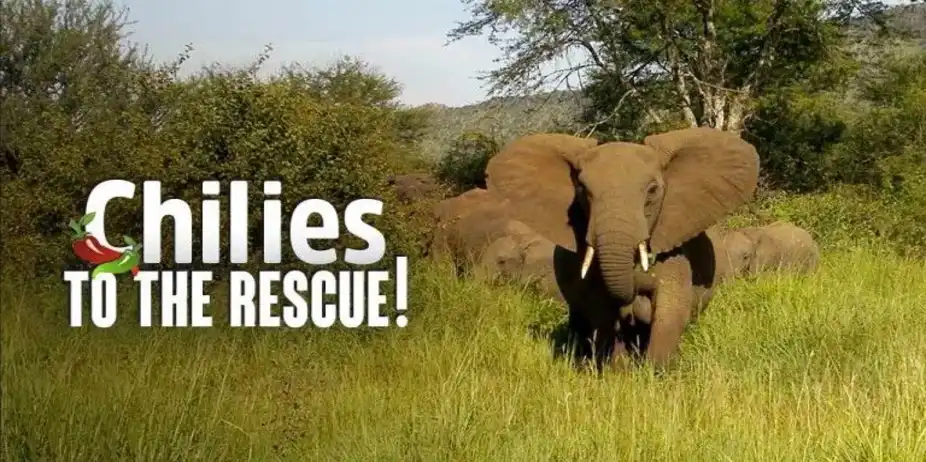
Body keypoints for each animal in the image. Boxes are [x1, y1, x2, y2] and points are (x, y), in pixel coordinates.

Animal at [481, 127, 760, 370]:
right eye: (583, 190)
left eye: (653, 190)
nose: (642, 279)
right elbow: (601, 310)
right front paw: (620, 373)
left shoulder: (674, 242)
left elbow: (671, 307)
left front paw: (654, 374)